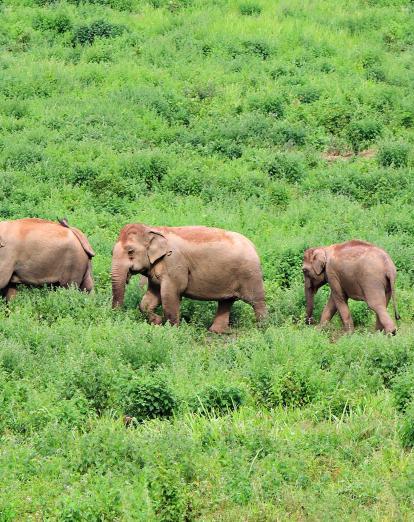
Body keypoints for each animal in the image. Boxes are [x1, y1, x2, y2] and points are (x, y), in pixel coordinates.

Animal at [111, 221, 266, 332]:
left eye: (130, 251)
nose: (117, 315)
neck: (152, 229)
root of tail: (254, 246)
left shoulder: (174, 263)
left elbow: (170, 294)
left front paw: (171, 331)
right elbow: (149, 298)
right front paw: (157, 322)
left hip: (250, 274)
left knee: (256, 301)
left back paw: (262, 330)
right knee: (226, 301)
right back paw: (216, 332)